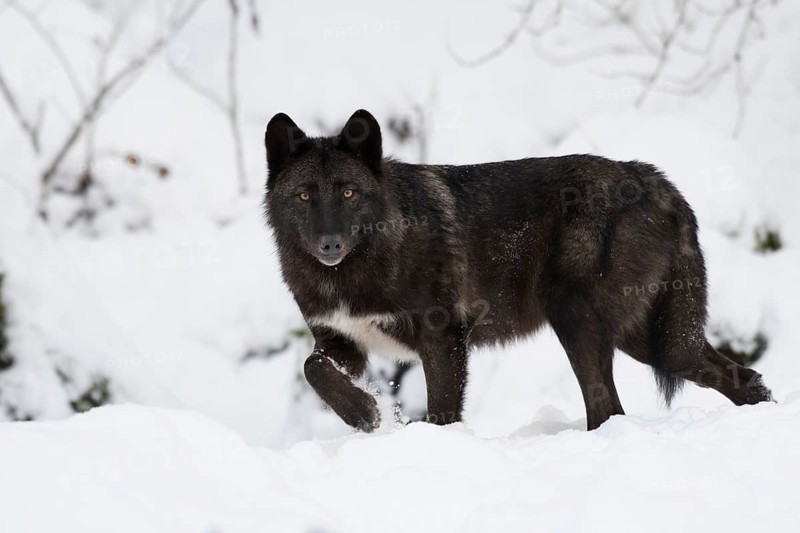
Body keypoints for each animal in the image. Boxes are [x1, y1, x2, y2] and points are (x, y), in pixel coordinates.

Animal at [263, 109, 772, 432]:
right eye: (305, 195)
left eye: (348, 193)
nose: (330, 244)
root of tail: (656, 180)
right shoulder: (340, 343)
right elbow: (313, 368)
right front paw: (366, 413)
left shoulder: (443, 337)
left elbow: (443, 410)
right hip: (650, 341)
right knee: (743, 378)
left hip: (581, 323)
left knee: (609, 410)